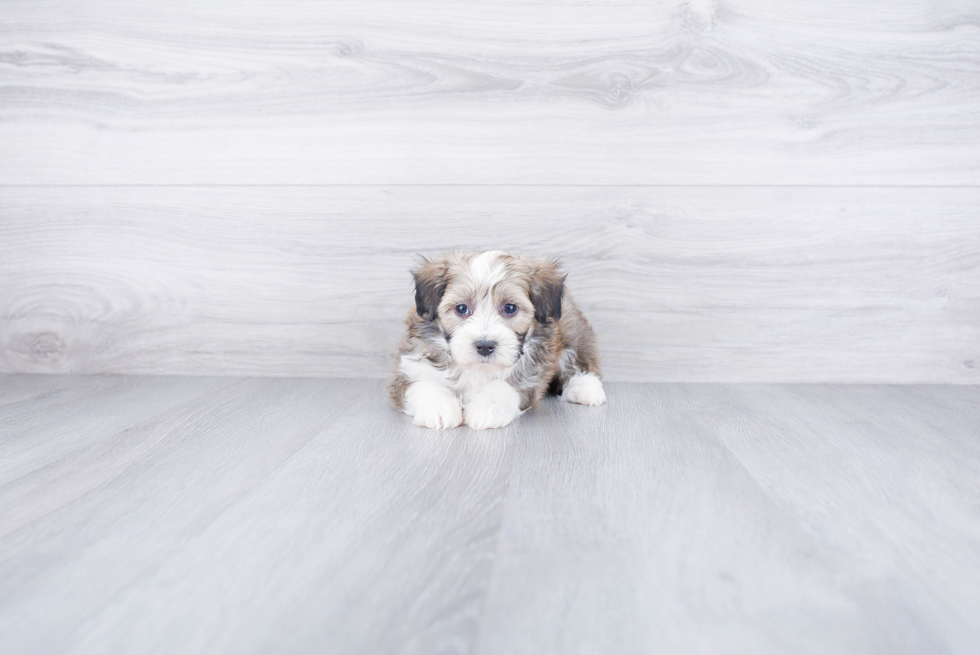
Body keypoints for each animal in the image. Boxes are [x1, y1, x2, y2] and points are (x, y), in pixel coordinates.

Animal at [384, 251, 600, 430]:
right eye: (461, 308)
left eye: (510, 308)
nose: (485, 346)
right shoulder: (410, 366)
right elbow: (421, 383)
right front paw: (439, 407)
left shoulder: (530, 377)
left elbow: (504, 386)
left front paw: (486, 407)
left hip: (572, 328)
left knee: (579, 360)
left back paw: (585, 387)